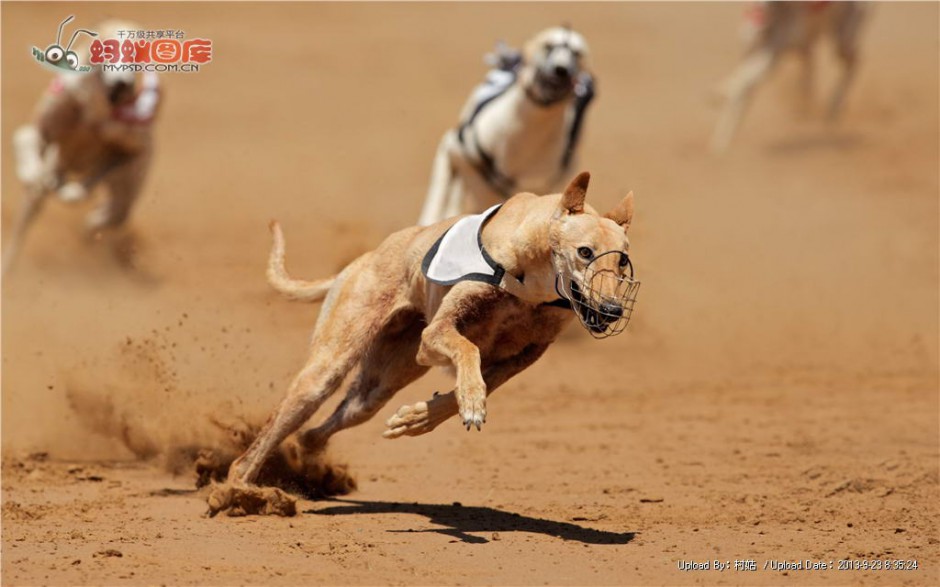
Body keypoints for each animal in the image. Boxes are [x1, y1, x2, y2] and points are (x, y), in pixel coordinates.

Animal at [4, 19, 162, 276]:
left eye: (138, 53)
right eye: (108, 47)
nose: (124, 84)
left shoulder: (132, 151)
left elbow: (88, 193)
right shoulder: (39, 130)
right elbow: (26, 144)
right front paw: (35, 174)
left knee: (114, 214)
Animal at [712, 1, 868, 153]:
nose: (759, 12)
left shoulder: (773, 52)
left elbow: (744, 82)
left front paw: (720, 95)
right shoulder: (751, 47)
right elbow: (742, 89)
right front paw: (721, 142)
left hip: (843, 38)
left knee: (854, 63)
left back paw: (833, 108)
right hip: (809, 42)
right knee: (810, 67)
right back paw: (805, 108)